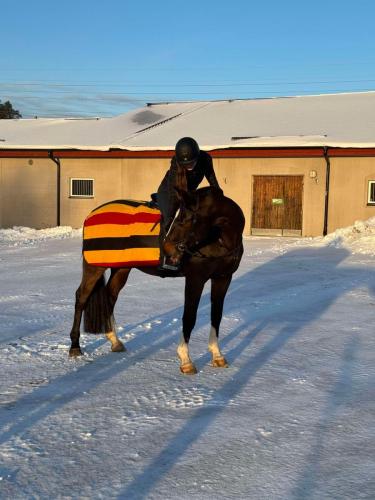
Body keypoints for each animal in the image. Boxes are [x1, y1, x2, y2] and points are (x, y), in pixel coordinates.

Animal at [70, 186, 247, 374]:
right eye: (179, 216)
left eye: (190, 218)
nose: (167, 248)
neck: (218, 241)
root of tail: (91, 214)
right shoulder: (195, 279)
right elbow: (189, 317)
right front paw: (186, 360)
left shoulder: (223, 278)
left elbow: (216, 316)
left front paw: (217, 356)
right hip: (95, 267)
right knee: (81, 298)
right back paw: (75, 347)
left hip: (121, 269)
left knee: (110, 296)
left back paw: (115, 341)